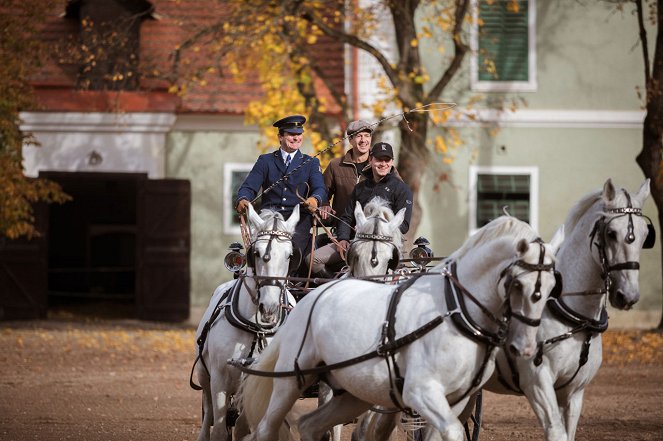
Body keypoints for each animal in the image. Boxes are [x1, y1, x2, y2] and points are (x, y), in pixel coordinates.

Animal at [192, 204, 300, 440]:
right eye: (256, 253)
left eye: (290, 255)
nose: (269, 307)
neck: (257, 329)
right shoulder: (219, 376)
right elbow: (219, 428)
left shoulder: (257, 379)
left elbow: (242, 425)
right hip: (204, 373)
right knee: (208, 407)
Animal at [235, 216, 564, 440]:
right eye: (518, 285)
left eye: (552, 287)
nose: (526, 347)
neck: (455, 312)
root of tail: (312, 297)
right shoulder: (421, 392)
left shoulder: (456, 400)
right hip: (290, 381)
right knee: (266, 429)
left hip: (351, 393)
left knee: (312, 426)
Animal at [480, 177, 656, 438]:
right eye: (611, 233)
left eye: (645, 235)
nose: (628, 295)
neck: (575, 318)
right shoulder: (537, 384)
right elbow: (557, 434)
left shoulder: (574, 392)